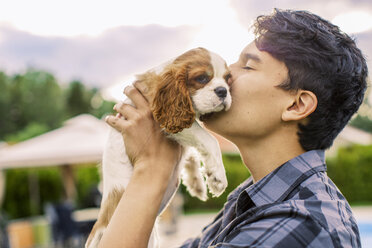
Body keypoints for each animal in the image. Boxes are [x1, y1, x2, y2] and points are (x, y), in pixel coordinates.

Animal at [86, 47, 232, 248]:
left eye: (227, 79)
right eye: (202, 78)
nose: (223, 91)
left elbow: (192, 154)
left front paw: (196, 183)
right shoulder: (167, 119)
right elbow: (209, 139)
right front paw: (217, 177)